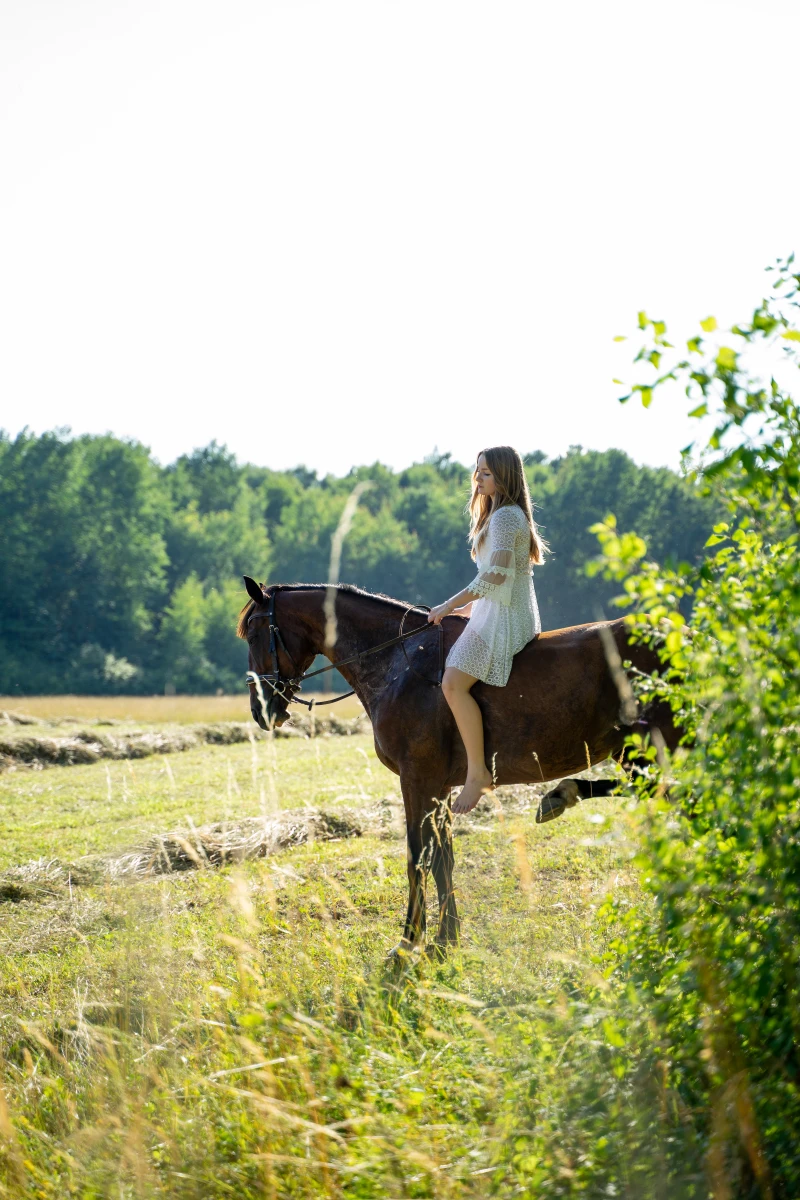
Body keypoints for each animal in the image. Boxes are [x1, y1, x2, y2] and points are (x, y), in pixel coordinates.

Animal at [237, 580, 676, 955]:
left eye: (256, 634)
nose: (260, 711)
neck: (397, 661)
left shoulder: (418, 780)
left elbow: (419, 856)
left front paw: (409, 941)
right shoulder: (439, 787)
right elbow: (442, 858)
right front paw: (447, 937)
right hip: (633, 751)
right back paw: (561, 796)